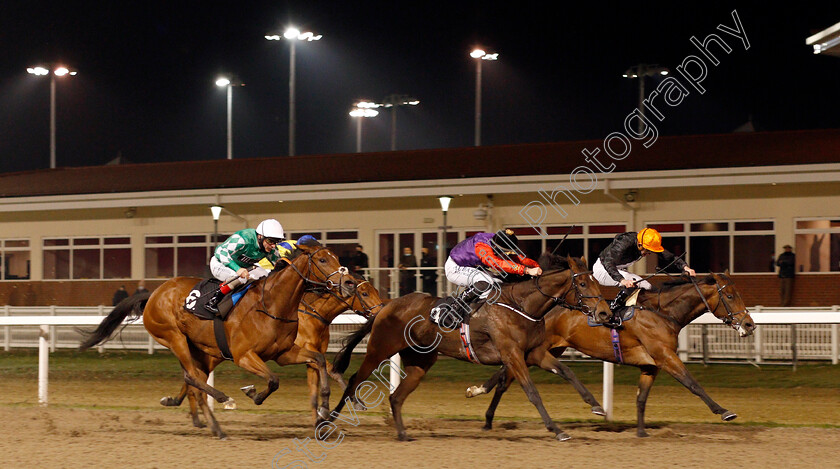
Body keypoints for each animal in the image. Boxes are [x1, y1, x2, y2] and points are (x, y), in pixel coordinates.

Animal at [76, 239, 344, 436]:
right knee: (192, 377)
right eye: (322, 259)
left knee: (195, 379)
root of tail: (153, 294)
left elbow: (318, 360)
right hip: (174, 337)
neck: (272, 304)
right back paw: (221, 407)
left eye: (338, 258)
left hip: (200, 350)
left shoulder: (284, 353)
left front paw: (325, 408)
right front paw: (253, 393)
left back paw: (204, 417)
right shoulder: (243, 355)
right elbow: (273, 379)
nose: (347, 281)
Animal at [330, 254, 612, 440]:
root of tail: (386, 306)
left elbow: (568, 372)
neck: (522, 306)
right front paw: (556, 429)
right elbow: (532, 392)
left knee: (396, 397)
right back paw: (328, 421)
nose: (604, 313)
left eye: (596, 282)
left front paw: (597, 406)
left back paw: (402, 434)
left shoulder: (535, 352)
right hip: (379, 349)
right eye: (583, 284)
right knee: (355, 379)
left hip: (420, 362)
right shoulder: (512, 355)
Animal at [470, 270, 756, 436]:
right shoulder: (665, 356)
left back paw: (482, 403)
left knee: (505, 376)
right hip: (536, 348)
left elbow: (641, 398)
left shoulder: (650, 365)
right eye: (731, 296)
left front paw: (641, 432)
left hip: (547, 348)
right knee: (507, 377)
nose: (750, 324)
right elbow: (693, 384)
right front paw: (724, 411)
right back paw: (484, 409)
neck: (663, 313)